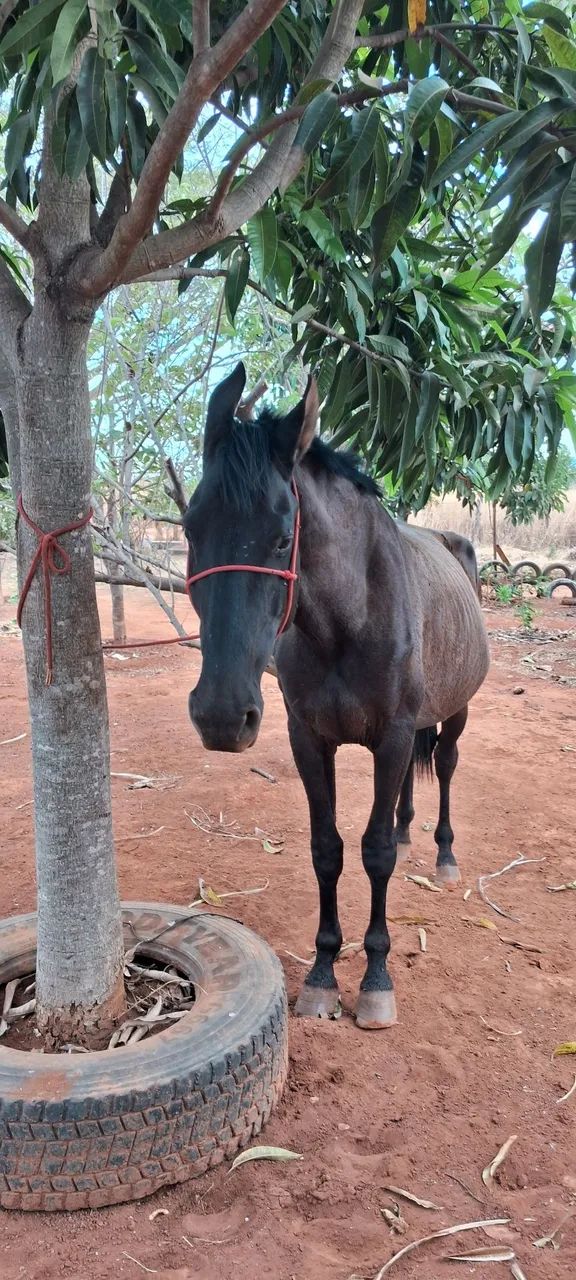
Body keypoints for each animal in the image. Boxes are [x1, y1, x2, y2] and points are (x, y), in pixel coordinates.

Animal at [184, 363, 490, 1029]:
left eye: (282, 538)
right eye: (191, 528)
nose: (221, 714)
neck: (350, 620)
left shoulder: (395, 736)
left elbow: (374, 855)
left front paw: (375, 980)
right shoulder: (310, 739)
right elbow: (328, 851)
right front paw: (323, 973)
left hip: (455, 714)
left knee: (446, 767)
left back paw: (444, 855)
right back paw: (408, 829)